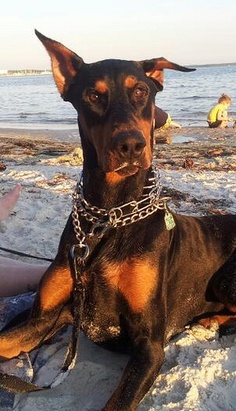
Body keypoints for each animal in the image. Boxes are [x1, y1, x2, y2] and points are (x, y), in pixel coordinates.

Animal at [0, 30, 236, 410]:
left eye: (140, 91)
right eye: (93, 95)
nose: (130, 145)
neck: (109, 216)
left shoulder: (149, 344)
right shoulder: (45, 318)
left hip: (226, 279)